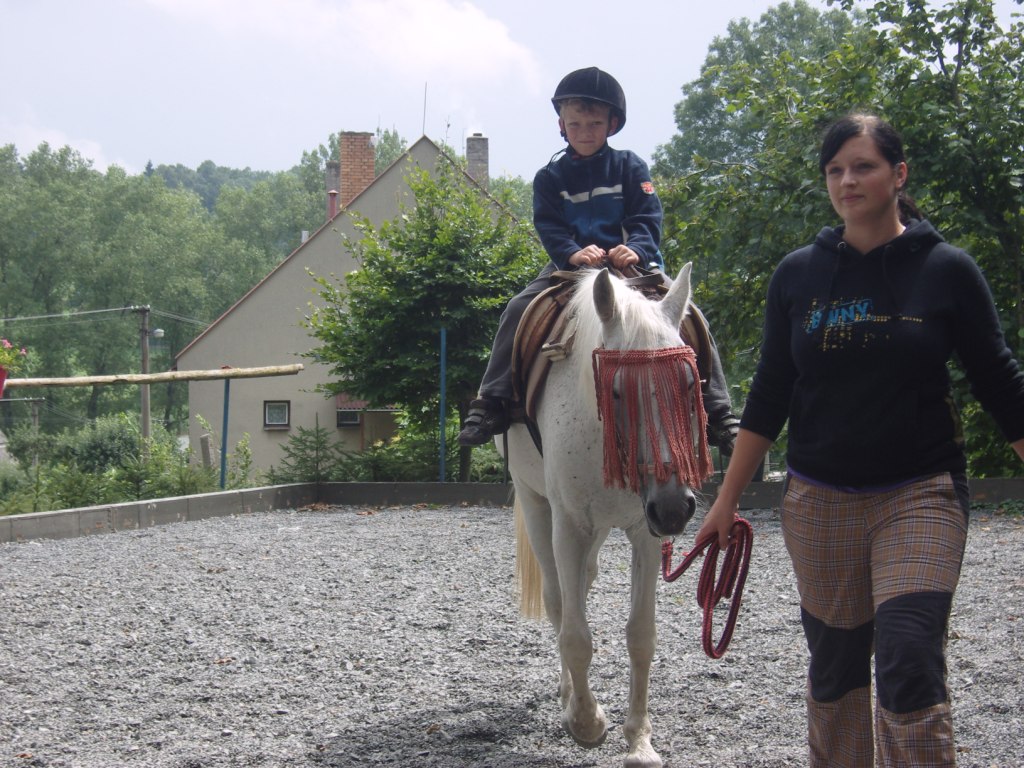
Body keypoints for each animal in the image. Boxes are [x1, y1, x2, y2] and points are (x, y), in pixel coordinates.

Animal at [501, 262, 712, 768]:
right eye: (616, 390)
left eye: (689, 383)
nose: (674, 506)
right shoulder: (569, 526)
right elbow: (574, 633)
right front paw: (587, 722)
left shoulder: (646, 533)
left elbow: (641, 635)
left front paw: (639, 741)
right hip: (537, 507)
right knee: (559, 601)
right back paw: (568, 699)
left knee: (582, 584)